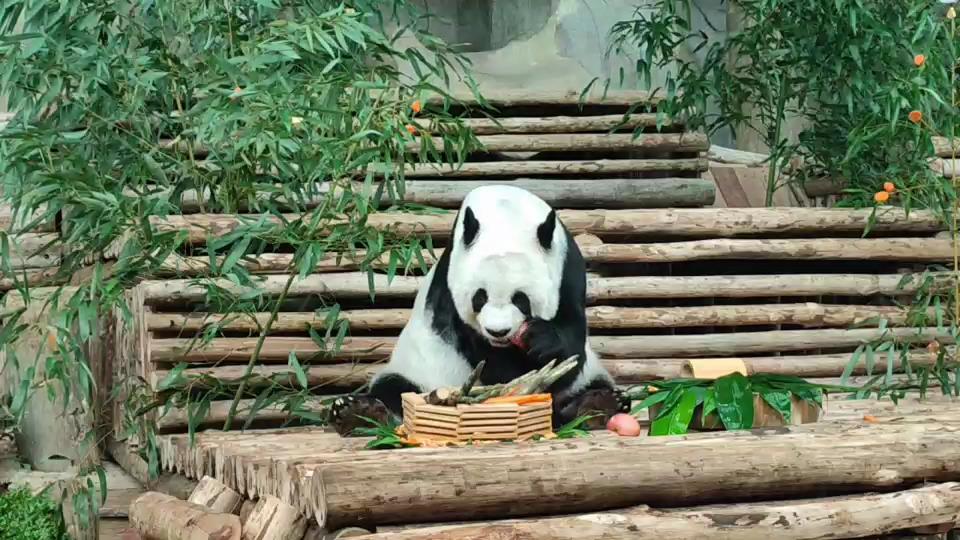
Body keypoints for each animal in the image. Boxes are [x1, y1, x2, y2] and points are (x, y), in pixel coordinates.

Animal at [329, 185, 627, 436]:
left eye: (521, 299)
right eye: (479, 298)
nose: (499, 331)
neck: (506, 211)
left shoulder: (568, 271)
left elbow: (571, 348)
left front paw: (540, 341)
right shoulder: (449, 285)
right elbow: (486, 358)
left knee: (591, 385)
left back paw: (597, 406)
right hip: (418, 370)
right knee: (392, 389)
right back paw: (358, 413)